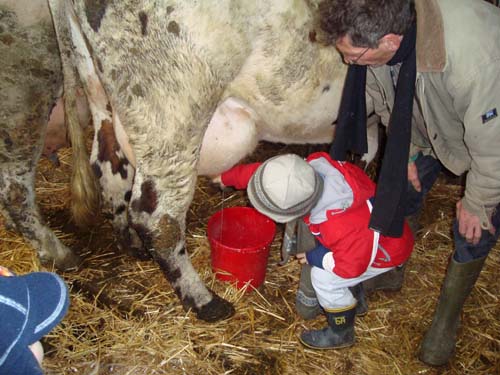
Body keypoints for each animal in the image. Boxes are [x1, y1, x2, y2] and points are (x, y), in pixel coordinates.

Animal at [0, 0, 376, 324]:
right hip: (167, 110)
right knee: (154, 217)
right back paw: (204, 301)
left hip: (99, 90)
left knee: (108, 166)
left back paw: (127, 245)